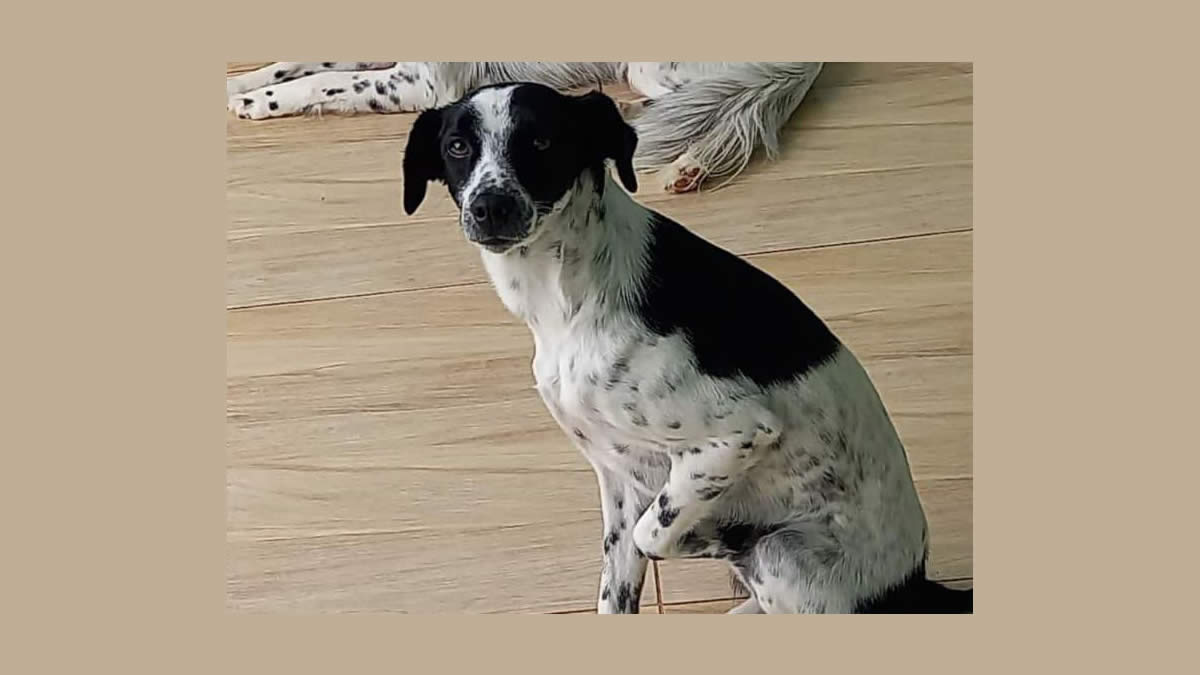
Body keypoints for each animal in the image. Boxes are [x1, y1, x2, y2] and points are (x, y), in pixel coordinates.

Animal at [400, 82, 972, 613]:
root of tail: (916, 584)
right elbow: (617, 579)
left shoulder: (736, 436)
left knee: (761, 560)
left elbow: (653, 534)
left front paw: (714, 537)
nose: (489, 207)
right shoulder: (617, 477)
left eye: (541, 140)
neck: (567, 299)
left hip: (783, 557)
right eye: (457, 147)